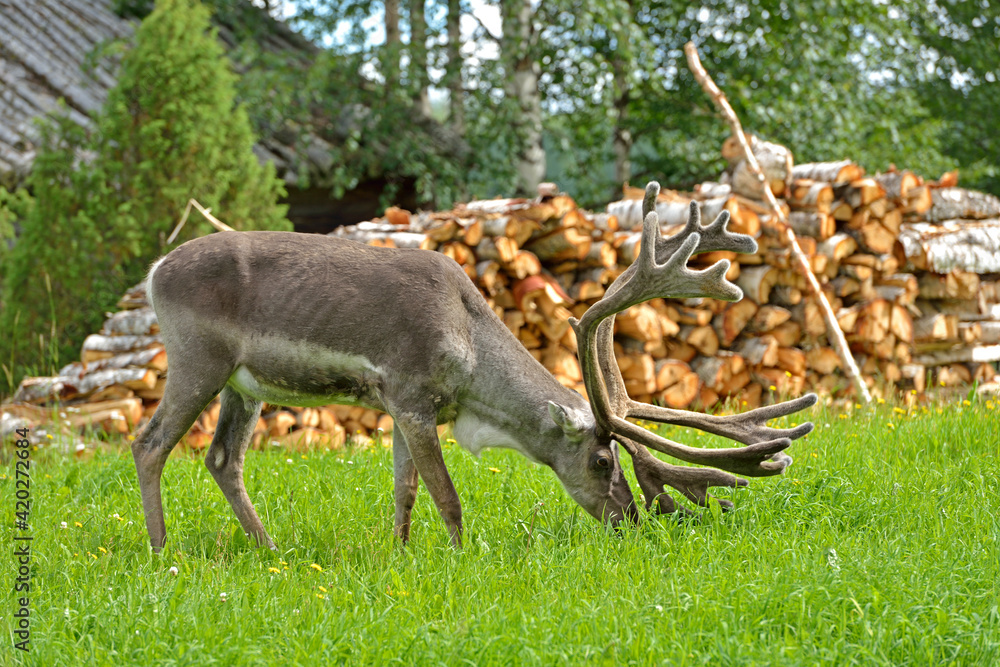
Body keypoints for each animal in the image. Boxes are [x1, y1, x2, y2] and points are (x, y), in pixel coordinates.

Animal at [131, 182, 817, 552]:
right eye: (602, 462)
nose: (629, 518)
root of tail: (155, 272)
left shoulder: (398, 407)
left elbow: (405, 492)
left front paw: (402, 556)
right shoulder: (411, 395)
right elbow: (448, 497)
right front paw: (462, 559)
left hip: (245, 384)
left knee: (223, 458)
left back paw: (272, 549)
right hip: (198, 358)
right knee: (150, 442)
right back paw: (163, 551)